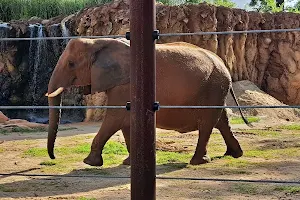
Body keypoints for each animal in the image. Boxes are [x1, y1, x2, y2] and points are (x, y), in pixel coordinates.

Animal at [47, 37, 250, 166]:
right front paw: (128, 163)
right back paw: (233, 154)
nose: (54, 157)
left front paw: (89, 163)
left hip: (213, 88)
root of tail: (223, 63)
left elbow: (115, 118)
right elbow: (126, 121)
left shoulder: (125, 84)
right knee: (221, 120)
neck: (98, 41)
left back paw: (198, 162)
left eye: (71, 64)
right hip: (215, 89)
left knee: (208, 122)